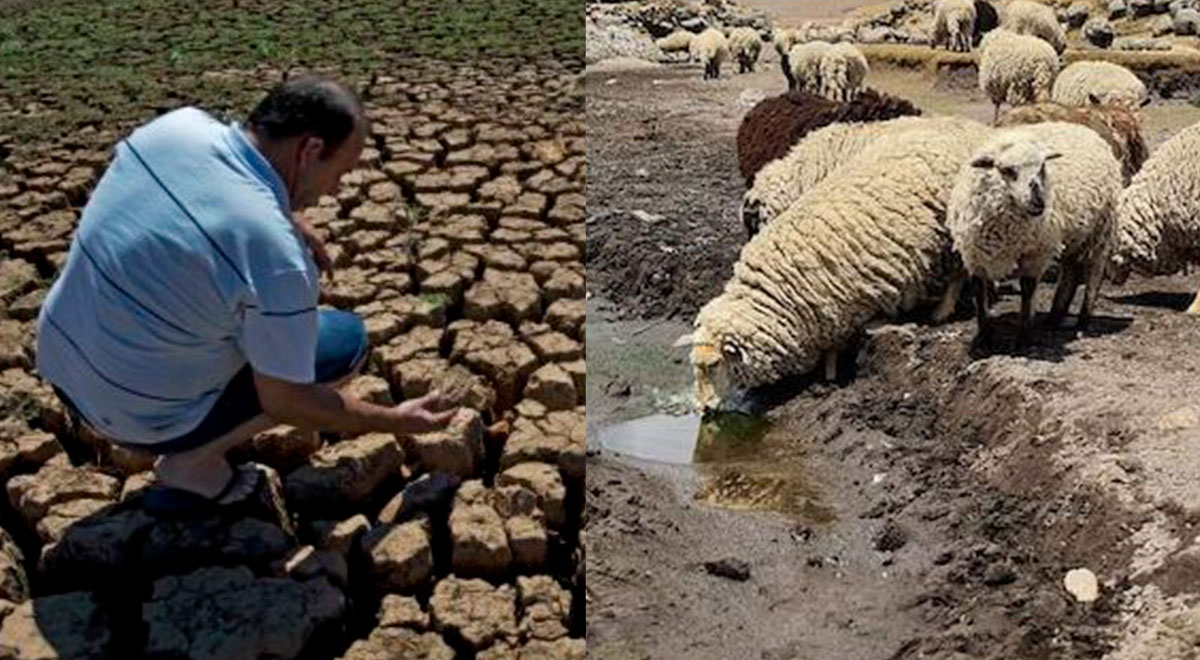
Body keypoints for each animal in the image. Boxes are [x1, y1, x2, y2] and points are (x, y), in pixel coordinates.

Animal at [691, 118, 988, 408]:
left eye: (714, 365)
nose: (703, 408)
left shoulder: (844, 304)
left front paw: (832, 376)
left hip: (954, 230)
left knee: (959, 272)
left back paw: (942, 311)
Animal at [945, 121, 1123, 343]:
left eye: (1042, 167)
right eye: (1007, 169)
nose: (1039, 202)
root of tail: (1081, 128)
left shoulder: (1036, 252)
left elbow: (1028, 290)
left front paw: (1024, 337)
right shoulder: (974, 255)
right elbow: (979, 291)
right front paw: (984, 336)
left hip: (1100, 232)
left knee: (1094, 274)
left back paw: (1082, 322)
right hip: (1073, 237)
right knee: (1071, 273)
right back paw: (1054, 318)